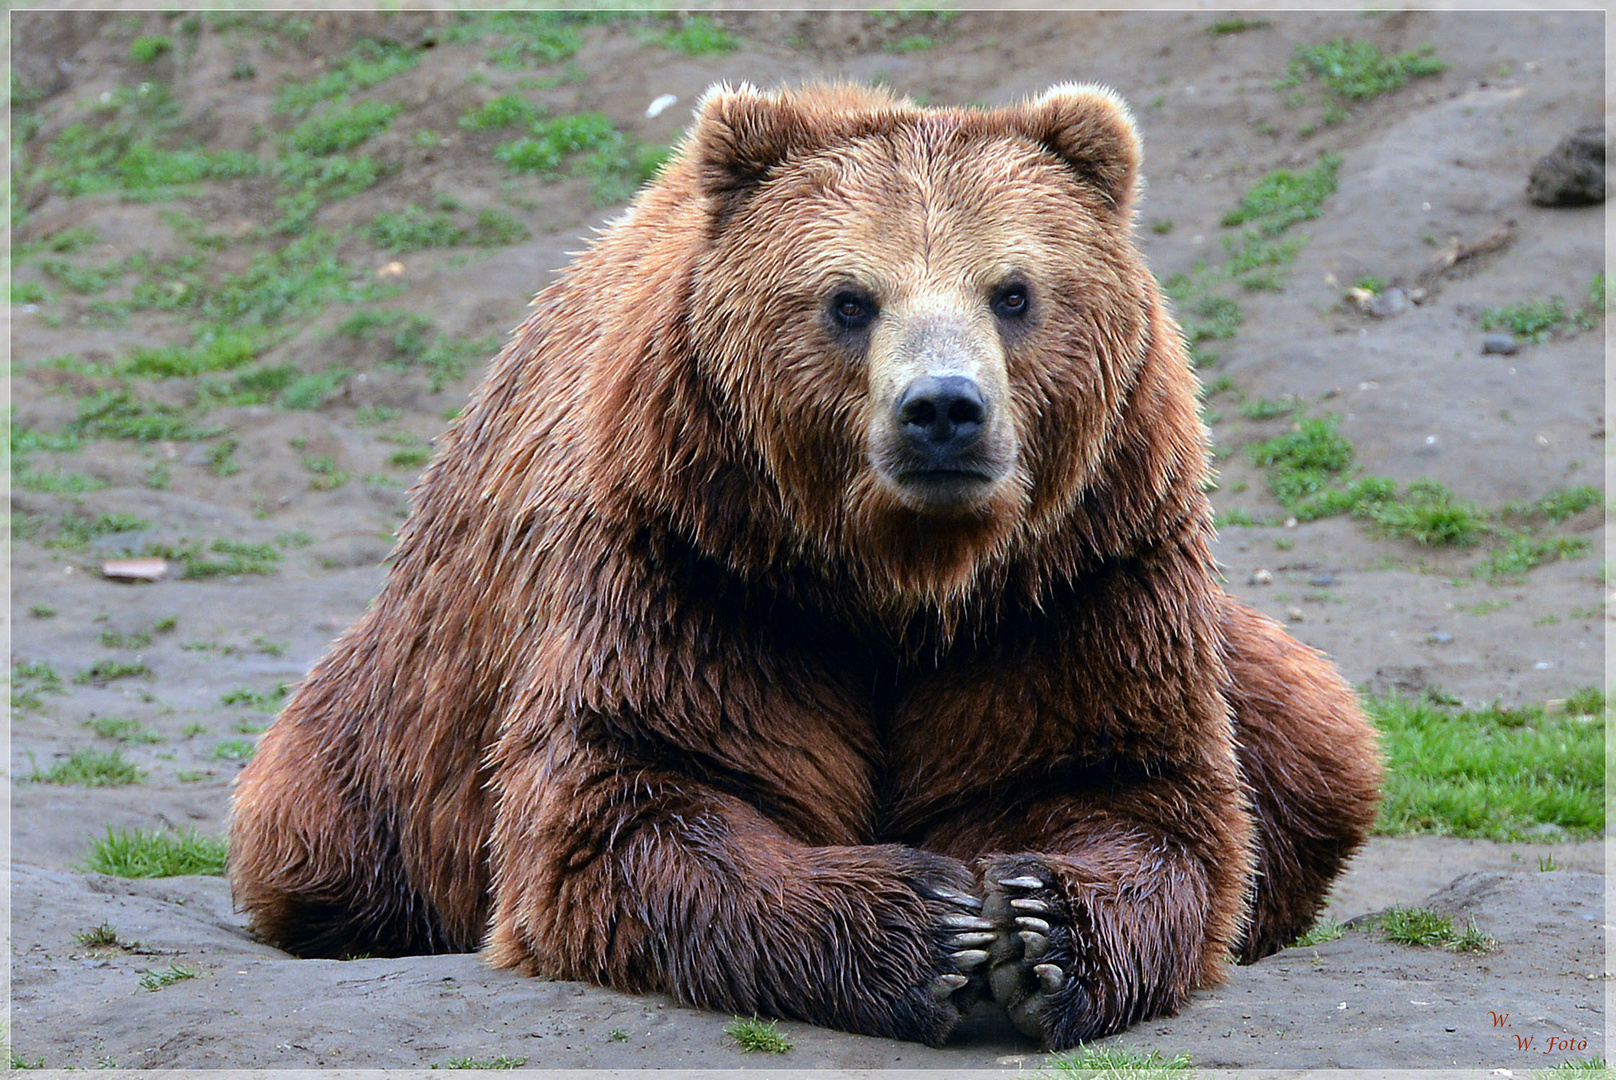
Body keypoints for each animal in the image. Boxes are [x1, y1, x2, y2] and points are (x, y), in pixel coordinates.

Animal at [234, 86, 1383, 1054]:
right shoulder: (698, 569)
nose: (942, 410)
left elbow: (1125, 783)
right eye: (848, 300)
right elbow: (634, 796)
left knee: (1319, 745)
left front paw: (1037, 926)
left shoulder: (1074, 581)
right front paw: (932, 928)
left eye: (1013, 292)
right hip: (384, 743)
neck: (901, 581)